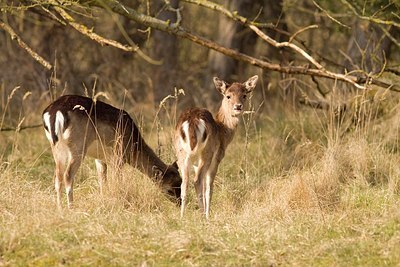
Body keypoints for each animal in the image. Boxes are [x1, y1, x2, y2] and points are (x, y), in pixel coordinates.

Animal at [42, 95, 181, 210]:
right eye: (171, 188)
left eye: (181, 181)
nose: (180, 202)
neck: (133, 147)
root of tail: (54, 113)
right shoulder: (119, 156)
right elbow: (117, 179)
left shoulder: (100, 158)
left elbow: (102, 180)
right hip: (77, 146)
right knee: (68, 175)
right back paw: (71, 208)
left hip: (56, 147)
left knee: (57, 176)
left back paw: (60, 209)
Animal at [175, 74, 260, 219]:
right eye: (228, 96)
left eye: (244, 95)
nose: (238, 106)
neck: (222, 131)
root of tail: (192, 121)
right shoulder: (218, 157)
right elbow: (209, 188)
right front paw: (208, 215)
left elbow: (204, 187)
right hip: (207, 152)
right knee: (197, 180)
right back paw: (203, 217)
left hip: (180, 152)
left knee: (184, 182)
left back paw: (182, 217)